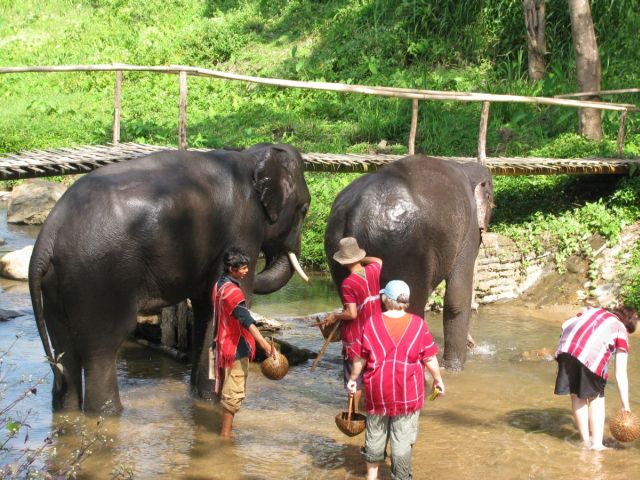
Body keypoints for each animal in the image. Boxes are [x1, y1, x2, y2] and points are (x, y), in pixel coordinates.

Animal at [28, 142, 312, 412]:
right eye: (305, 208)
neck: (251, 156)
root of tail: (46, 239)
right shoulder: (244, 230)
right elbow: (231, 301)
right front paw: (213, 402)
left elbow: (206, 306)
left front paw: (200, 399)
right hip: (99, 280)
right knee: (101, 351)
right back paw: (108, 412)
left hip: (57, 286)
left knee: (64, 351)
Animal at [324, 156, 496, 370]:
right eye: (492, 204)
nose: (477, 347)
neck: (466, 167)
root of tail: (357, 210)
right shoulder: (469, 230)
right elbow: (457, 297)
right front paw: (453, 369)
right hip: (406, 251)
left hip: (335, 245)